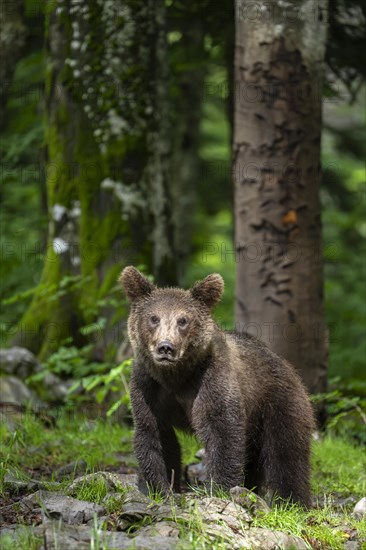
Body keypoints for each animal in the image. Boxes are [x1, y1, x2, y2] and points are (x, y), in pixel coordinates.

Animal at [120, 268, 314, 508]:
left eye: (183, 320)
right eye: (153, 318)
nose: (166, 347)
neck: (175, 376)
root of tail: (288, 366)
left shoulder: (210, 379)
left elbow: (222, 431)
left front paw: (220, 488)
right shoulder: (149, 388)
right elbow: (154, 435)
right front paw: (161, 488)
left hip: (277, 401)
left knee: (286, 451)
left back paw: (292, 501)